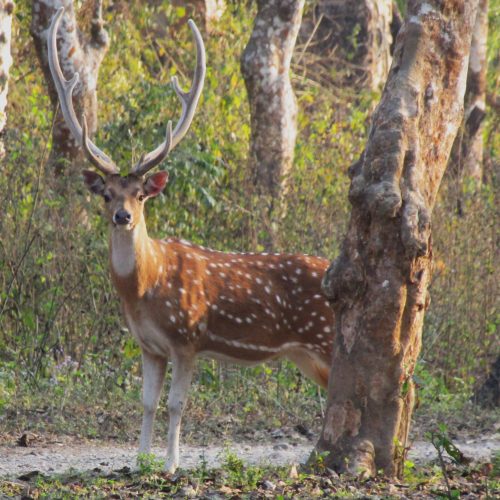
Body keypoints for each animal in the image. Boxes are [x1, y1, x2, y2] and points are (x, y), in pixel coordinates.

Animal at [47, 6, 336, 472]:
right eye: (107, 194)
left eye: (140, 194)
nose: (123, 216)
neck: (145, 286)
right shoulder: (149, 346)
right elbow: (146, 403)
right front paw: (140, 462)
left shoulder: (188, 337)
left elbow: (176, 405)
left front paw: (169, 466)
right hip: (305, 354)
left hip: (325, 338)